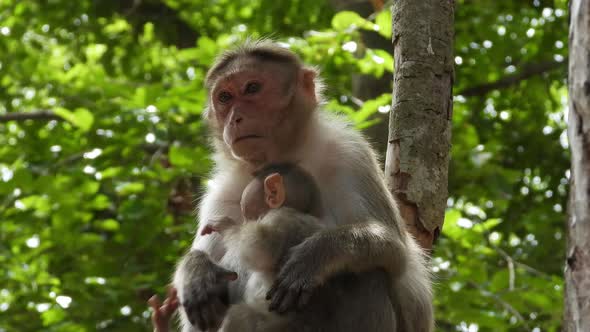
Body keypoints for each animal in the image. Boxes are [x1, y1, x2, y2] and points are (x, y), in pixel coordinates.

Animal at [175, 39, 434, 332]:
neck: (289, 153)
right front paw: (196, 271)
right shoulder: (220, 194)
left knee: (370, 274)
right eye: (225, 98)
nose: (235, 118)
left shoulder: (350, 154)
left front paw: (316, 255)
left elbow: (395, 250)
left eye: (252, 88)